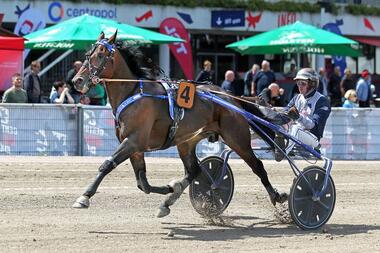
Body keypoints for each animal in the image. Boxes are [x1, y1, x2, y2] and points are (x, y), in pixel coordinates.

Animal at [71, 31, 286, 217]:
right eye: (88, 54)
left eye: (101, 54)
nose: (77, 80)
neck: (132, 93)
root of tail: (231, 97)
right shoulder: (135, 148)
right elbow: (143, 184)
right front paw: (169, 189)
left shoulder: (133, 141)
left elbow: (107, 165)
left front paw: (84, 197)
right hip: (186, 142)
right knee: (194, 170)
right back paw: (170, 199)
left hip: (237, 138)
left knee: (257, 166)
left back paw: (277, 195)